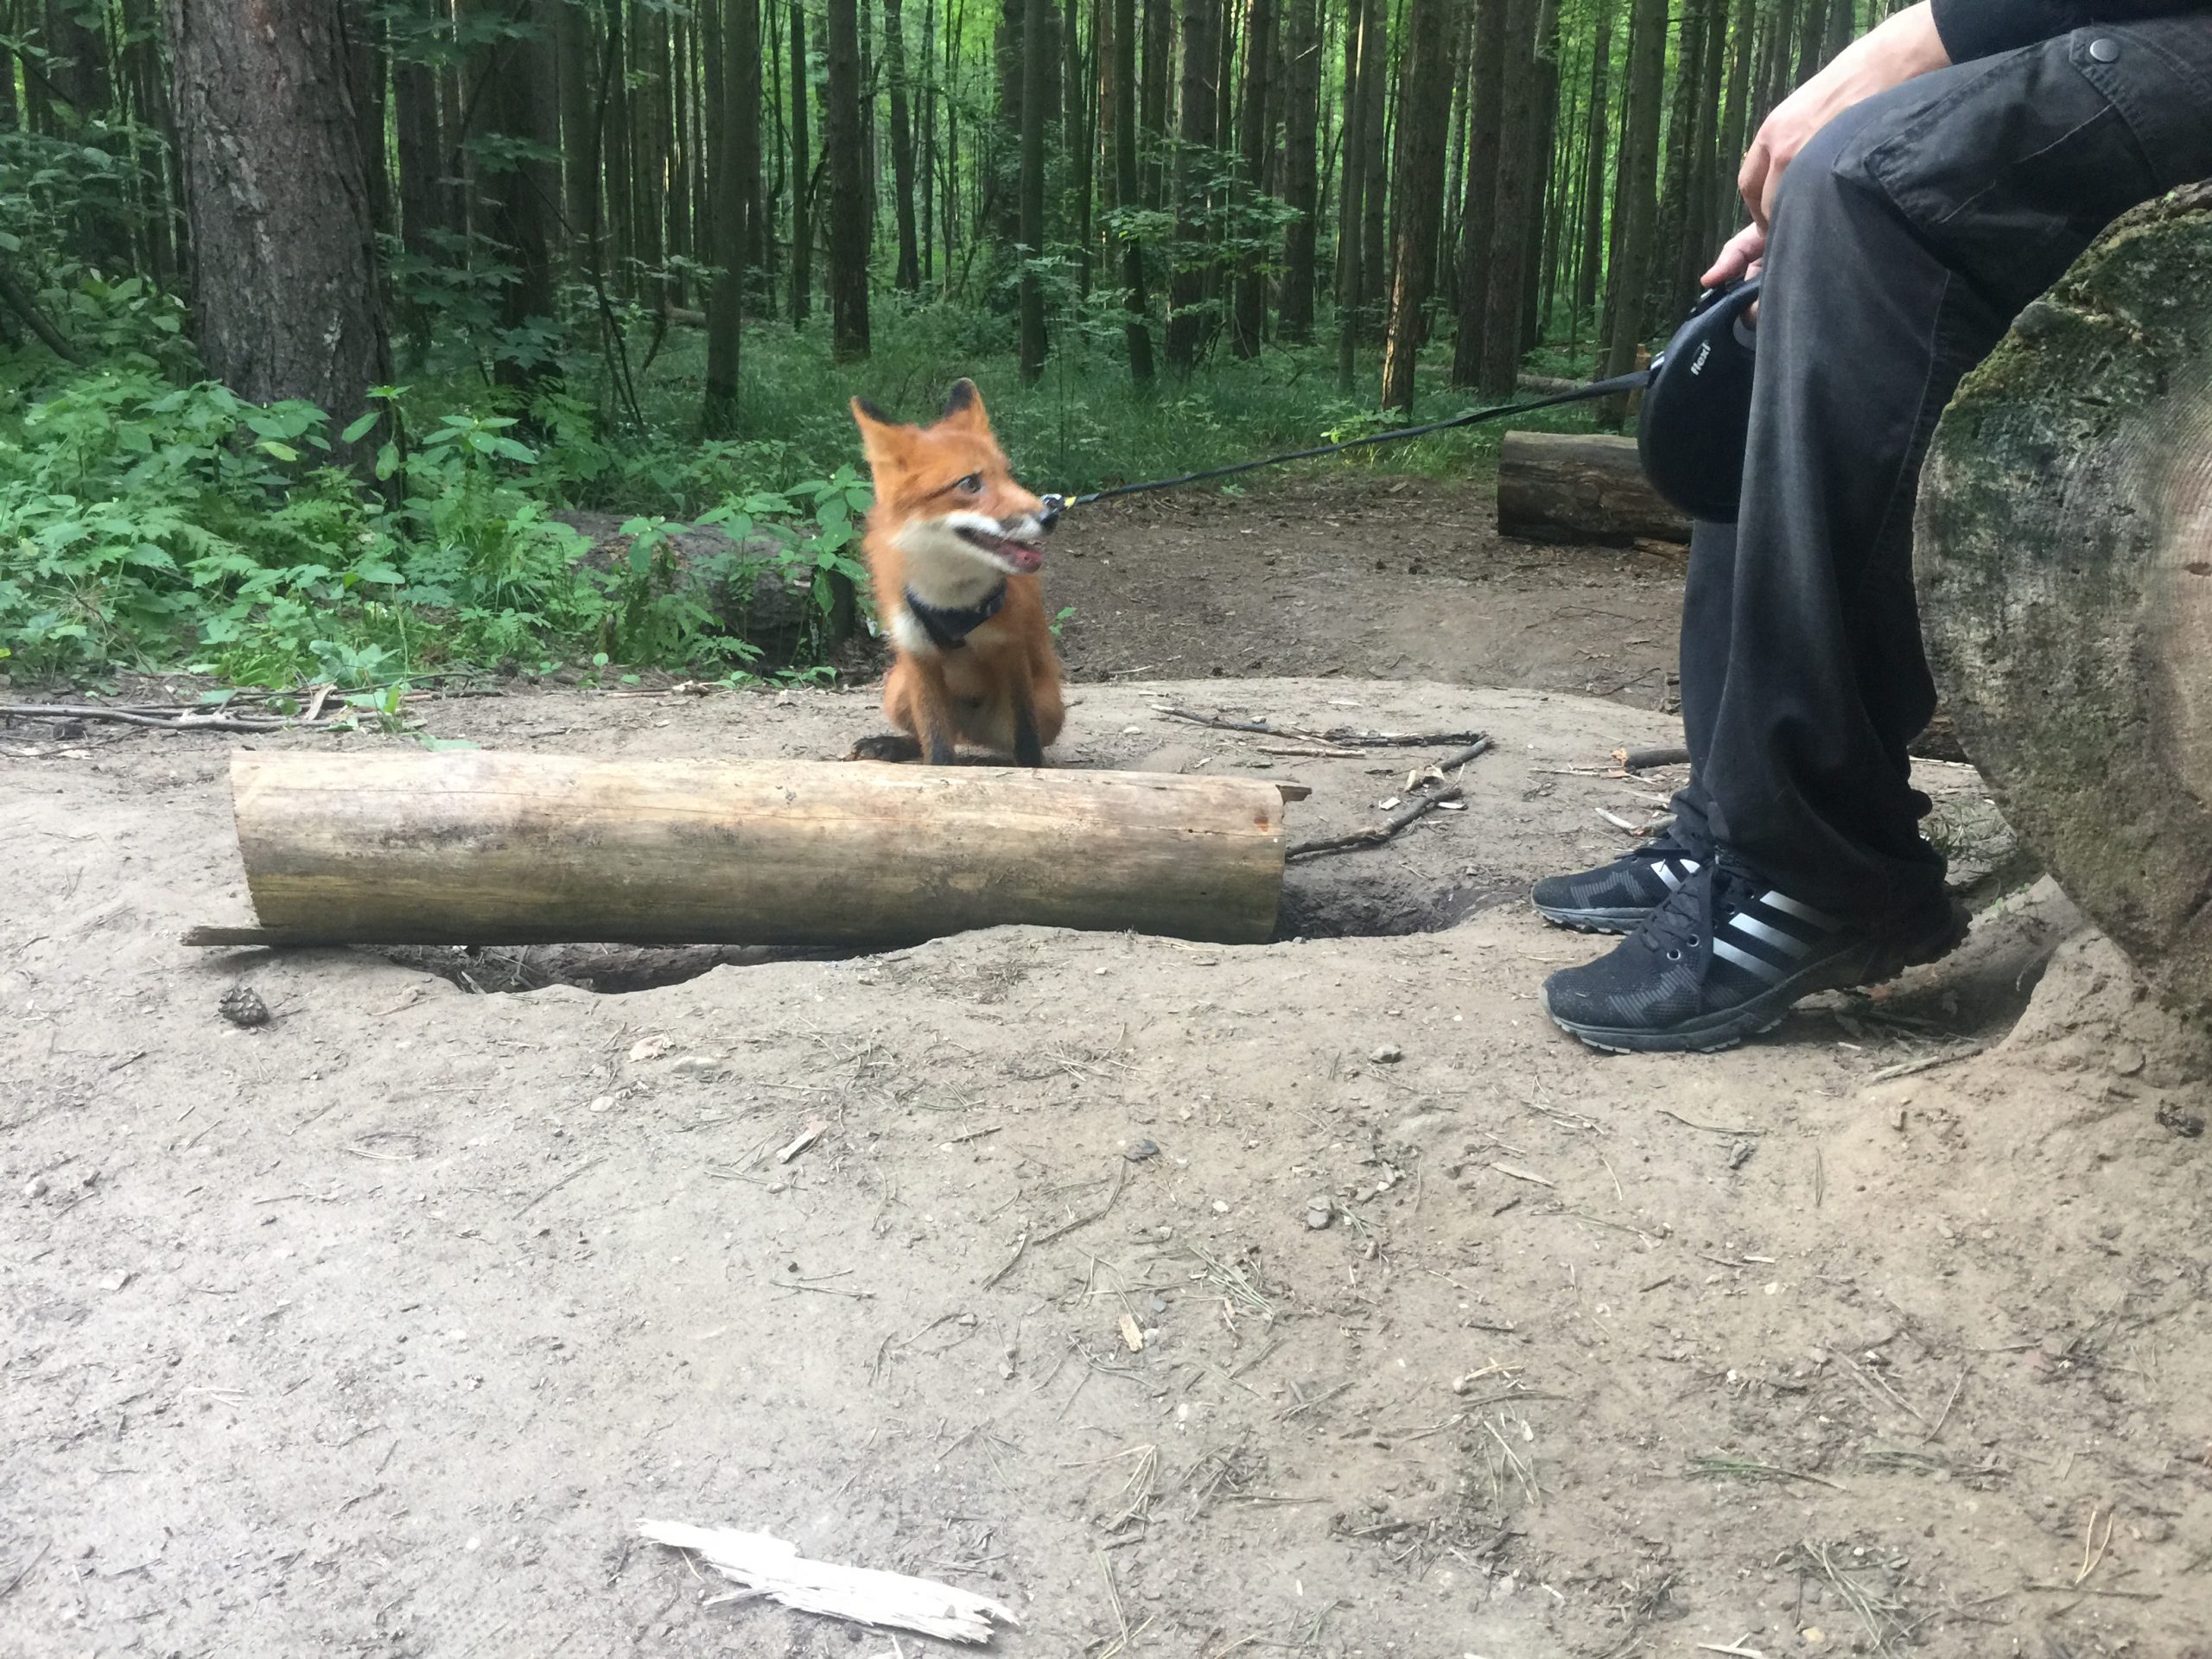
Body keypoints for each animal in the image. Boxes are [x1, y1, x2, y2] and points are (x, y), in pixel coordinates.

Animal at [847, 379, 1066, 768]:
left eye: (1007, 474)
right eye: (969, 483)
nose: (1050, 516)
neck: (949, 599)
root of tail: (971, 729)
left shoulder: (1010, 649)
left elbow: (1027, 742)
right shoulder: (918, 655)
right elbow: (936, 746)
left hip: (1048, 708)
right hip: (897, 690)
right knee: (929, 735)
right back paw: (890, 744)